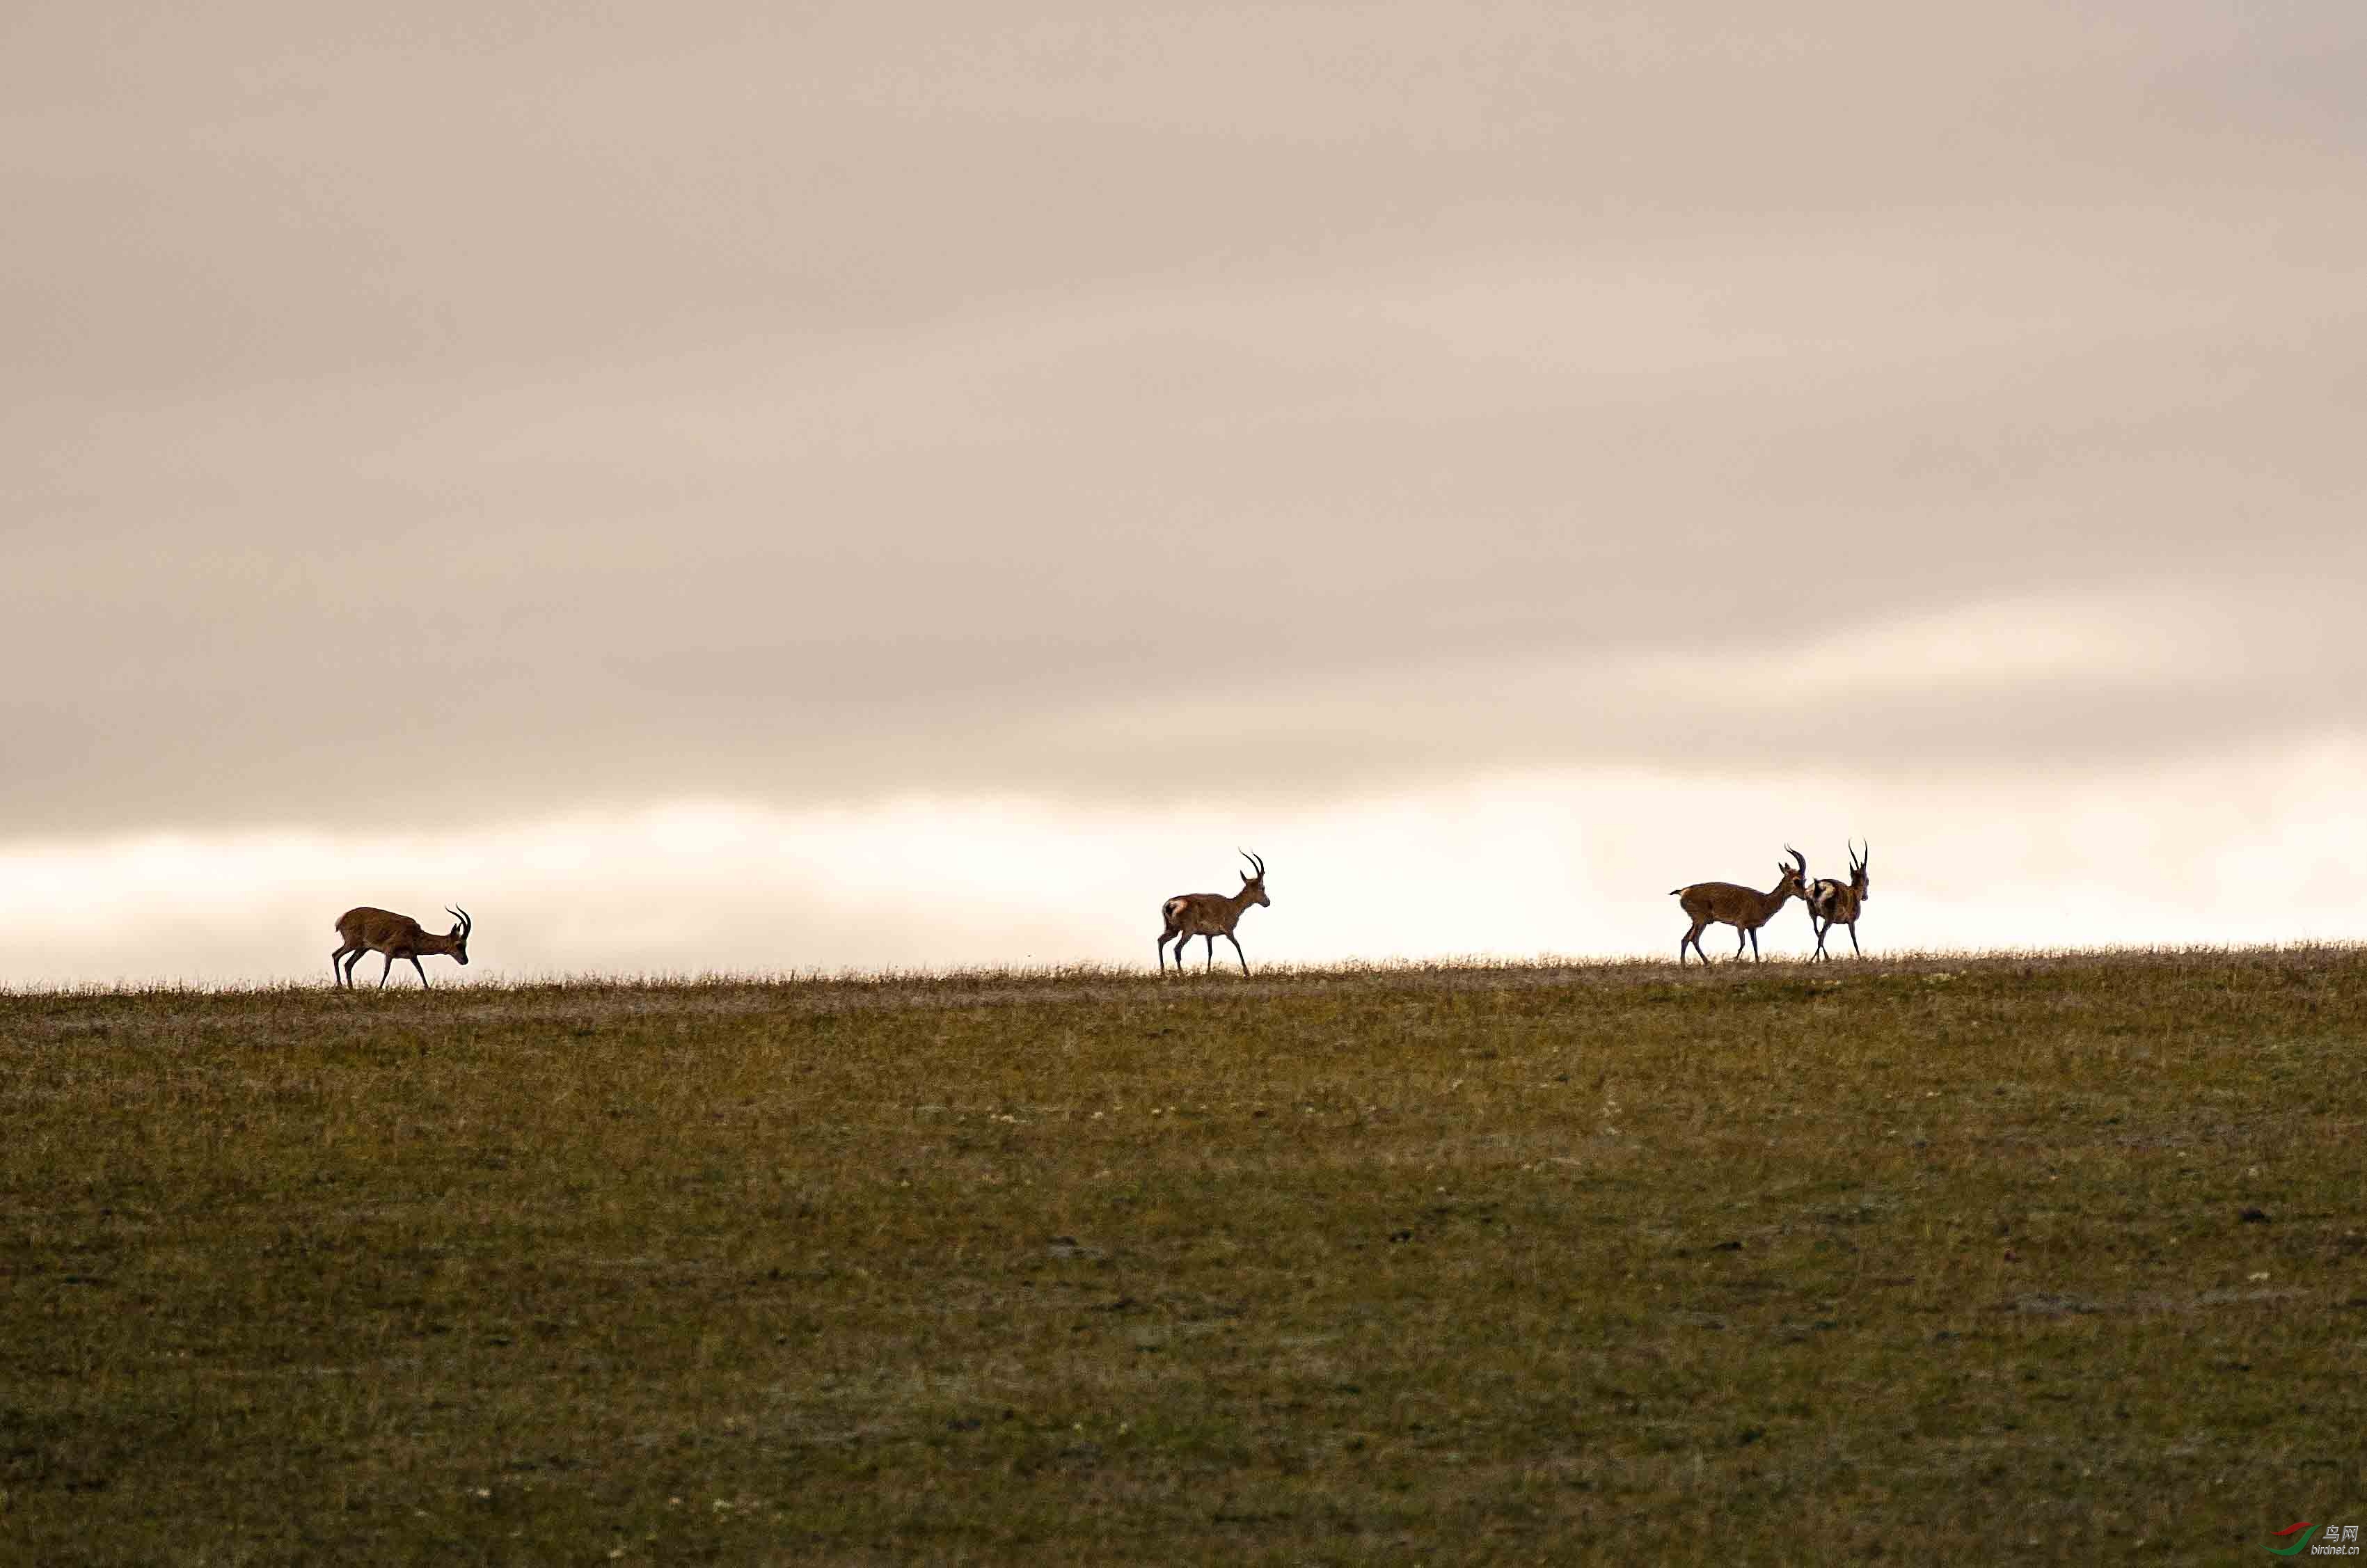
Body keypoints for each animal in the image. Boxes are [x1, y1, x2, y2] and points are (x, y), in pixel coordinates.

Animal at [333, 905, 470, 990]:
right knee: (336, 955)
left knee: (348, 964)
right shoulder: (389, 952)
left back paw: (351, 989)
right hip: (352, 944)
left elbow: (420, 970)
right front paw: (379, 989)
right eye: (459, 945)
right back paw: (341, 986)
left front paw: (428, 989)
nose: (465, 961)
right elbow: (386, 971)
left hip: (362, 949)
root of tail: (342, 918)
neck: (415, 935)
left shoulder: (412, 956)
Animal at [1155, 853, 1268, 976]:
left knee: (1161, 941)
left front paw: (1208, 972)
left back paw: (1163, 973)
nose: (1268, 902)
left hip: (1172, 930)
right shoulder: (1228, 931)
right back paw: (1182, 974)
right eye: (1263, 887)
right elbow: (1238, 946)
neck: (1232, 905)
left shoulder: (1209, 935)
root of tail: (1171, 904)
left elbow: (1210, 952)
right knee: (1177, 949)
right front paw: (1247, 973)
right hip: (1188, 931)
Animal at [1666, 853, 1808, 966]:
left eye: (1805, 879)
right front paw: (1732, 961)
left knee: (1685, 939)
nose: (1805, 896)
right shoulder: (1740, 925)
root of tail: (1683, 892)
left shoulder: (1752, 928)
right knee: (1694, 939)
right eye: (1796, 880)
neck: (1763, 901)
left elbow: (1755, 946)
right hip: (1701, 921)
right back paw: (1709, 964)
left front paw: (1758, 965)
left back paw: (1684, 966)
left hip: (1697, 922)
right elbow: (1743, 944)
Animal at [1808, 843, 1865, 966]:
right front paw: (1861, 958)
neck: (1854, 891)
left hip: (1814, 915)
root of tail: (1819, 886)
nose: (1865, 897)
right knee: (1821, 936)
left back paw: (1820, 959)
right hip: (1829, 919)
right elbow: (1854, 939)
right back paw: (1814, 960)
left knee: (1818, 933)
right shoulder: (1851, 922)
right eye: (1868, 879)